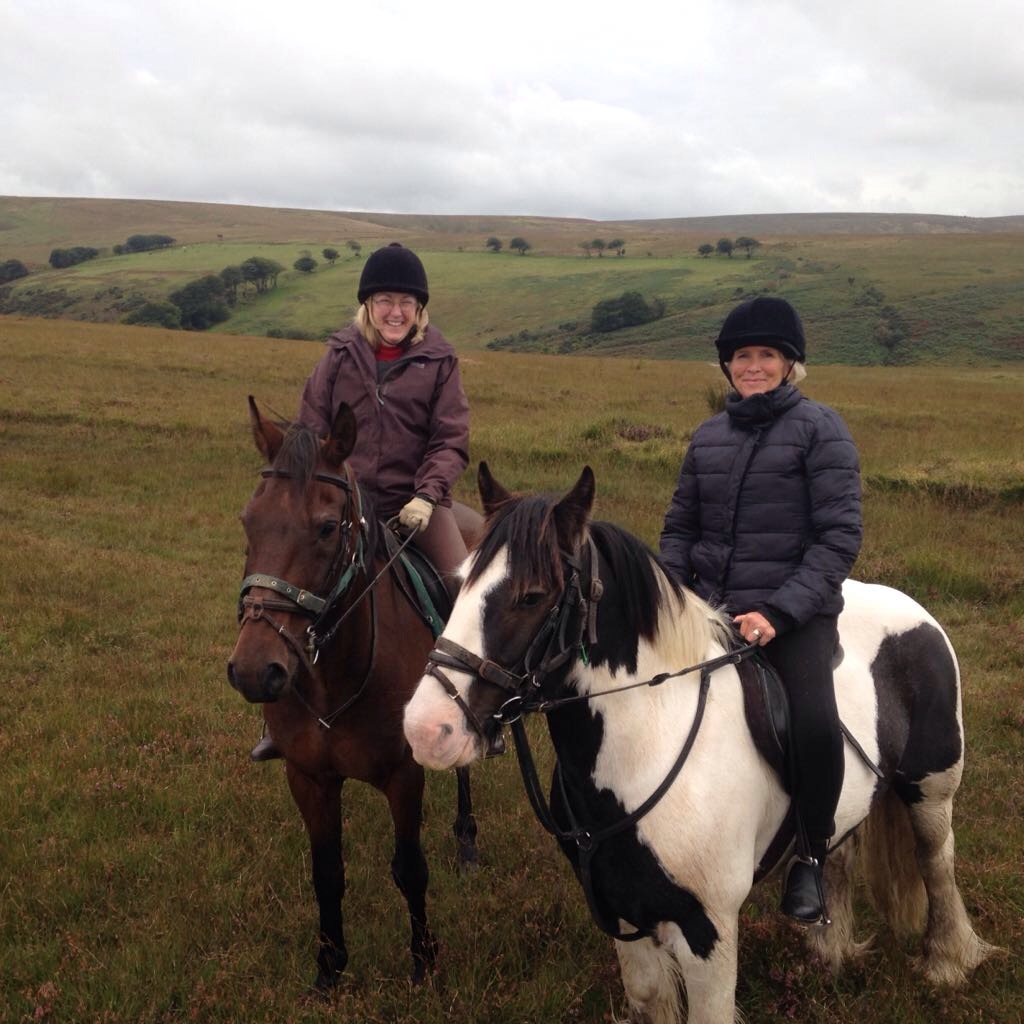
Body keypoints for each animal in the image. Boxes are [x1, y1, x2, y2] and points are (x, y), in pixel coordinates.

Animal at [227, 397, 481, 991]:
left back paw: (466, 837)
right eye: (249, 520)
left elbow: (410, 870)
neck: (335, 678)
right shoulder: (309, 778)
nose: (255, 672)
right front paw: (329, 968)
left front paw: (423, 961)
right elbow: (327, 873)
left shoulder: (403, 776)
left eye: (325, 528)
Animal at [403, 463, 995, 1024]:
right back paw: (830, 950)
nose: (426, 729)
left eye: (532, 596)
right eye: (459, 582)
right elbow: (649, 998)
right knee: (837, 850)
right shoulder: (623, 911)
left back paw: (947, 962)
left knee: (936, 860)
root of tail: (914, 612)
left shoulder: (709, 928)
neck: (650, 744)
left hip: (931, 791)